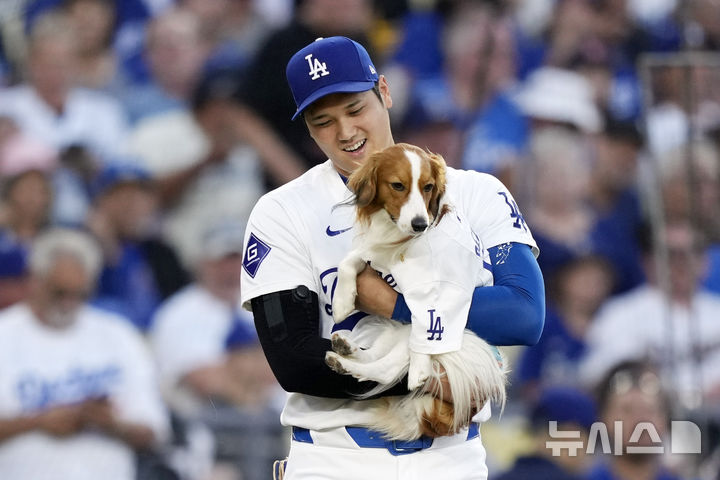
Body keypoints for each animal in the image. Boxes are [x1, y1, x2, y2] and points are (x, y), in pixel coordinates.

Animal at [326, 143, 506, 442]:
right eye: (398, 185)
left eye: (428, 187)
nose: (420, 223)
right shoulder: (376, 253)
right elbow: (349, 260)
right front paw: (342, 301)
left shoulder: (443, 290)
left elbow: (430, 323)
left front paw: (420, 370)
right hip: (395, 330)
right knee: (376, 357)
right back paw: (345, 350)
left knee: (386, 370)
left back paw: (350, 364)